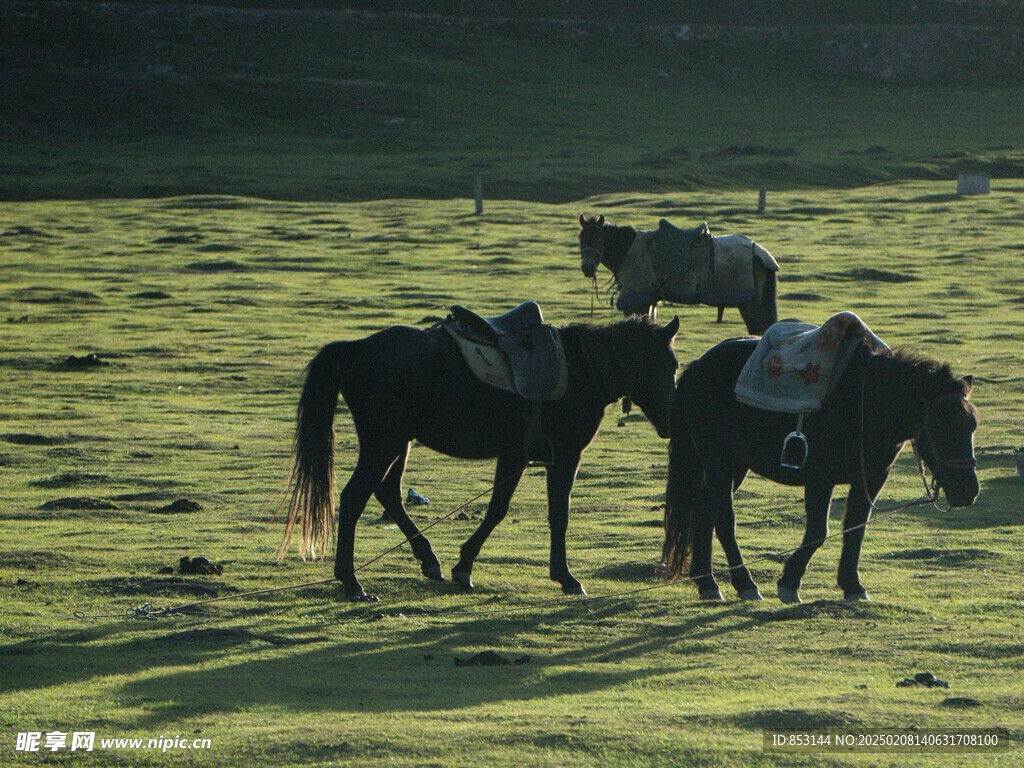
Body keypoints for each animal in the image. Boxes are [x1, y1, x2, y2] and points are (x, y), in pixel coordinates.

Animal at [280, 313, 679, 602]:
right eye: (671, 364)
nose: (671, 422)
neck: (583, 370)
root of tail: (356, 348)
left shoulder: (518, 456)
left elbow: (501, 510)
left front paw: (462, 567)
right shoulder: (558, 456)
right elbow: (545, 514)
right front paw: (566, 578)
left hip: (398, 444)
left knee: (388, 494)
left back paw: (428, 560)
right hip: (383, 444)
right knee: (353, 498)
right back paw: (352, 583)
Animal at [577, 214, 774, 333]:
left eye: (599, 239)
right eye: (581, 238)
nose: (587, 268)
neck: (628, 249)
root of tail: (759, 252)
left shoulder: (637, 303)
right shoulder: (650, 302)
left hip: (750, 303)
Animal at [659, 339, 978, 606]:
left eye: (972, 425)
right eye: (941, 425)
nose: (967, 490)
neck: (864, 404)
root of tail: (697, 367)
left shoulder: (871, 479)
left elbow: (855, 530)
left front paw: (853, 586)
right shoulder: (819, 479)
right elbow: (817, 532)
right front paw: (789, 583)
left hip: (736, 464)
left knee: (705, 511)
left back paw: (708, 584)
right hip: (719, 461)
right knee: (724, 519)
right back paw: (744, 584)